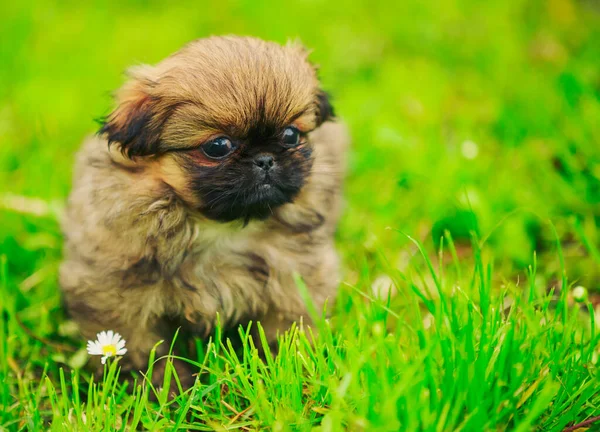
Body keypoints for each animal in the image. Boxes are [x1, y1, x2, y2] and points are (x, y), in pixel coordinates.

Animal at [59, 36, 350, 388]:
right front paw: (163, 387)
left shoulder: (294, 275)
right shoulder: (117, 286)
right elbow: (142, 346)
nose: (265, 159)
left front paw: (284, 368)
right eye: (218, 146)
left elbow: (286, 328)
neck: (219, 225)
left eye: (291, 135)